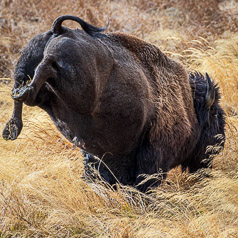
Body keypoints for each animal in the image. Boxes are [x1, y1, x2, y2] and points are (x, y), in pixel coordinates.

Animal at [2, 14, 225, 192]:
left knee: (22, 89)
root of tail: (60, 29)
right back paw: (22, 100)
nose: (220, 144)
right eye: (215, 115)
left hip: (29, 67)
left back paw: (12, 123)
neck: (188, 106)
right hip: (80, 91)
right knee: (46, 69)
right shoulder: (154, 156)